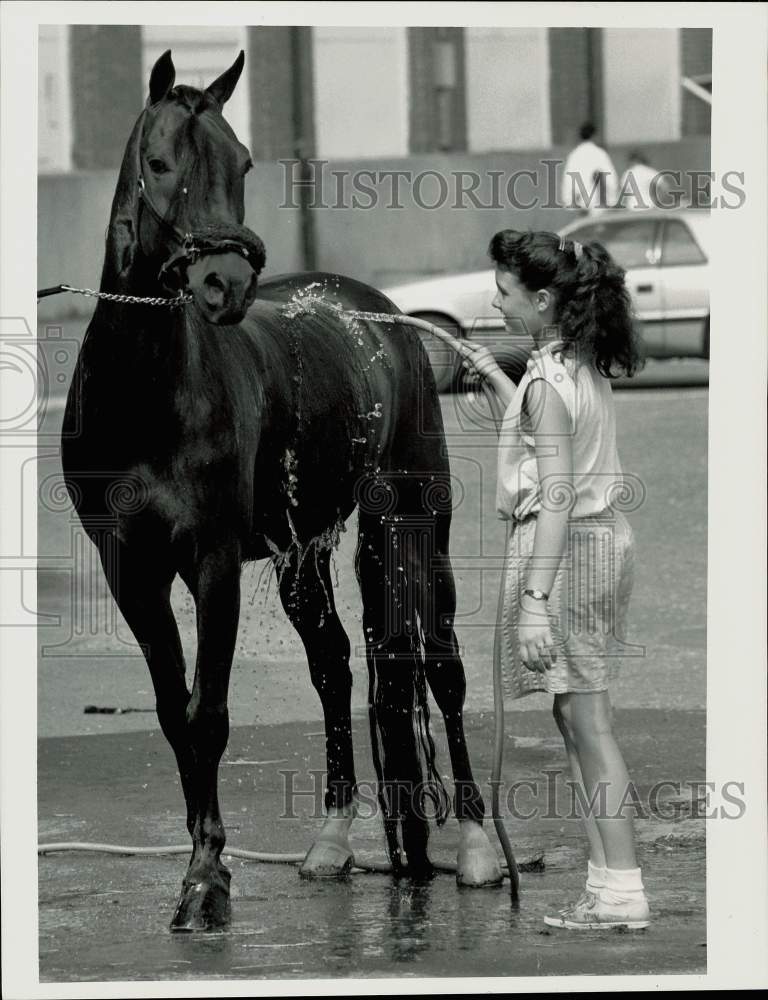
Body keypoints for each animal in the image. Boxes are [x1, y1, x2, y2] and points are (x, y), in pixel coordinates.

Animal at [61, 52, 504, 928]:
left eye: (241, 164)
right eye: (161, 162)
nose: (224, 284)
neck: (145, 391)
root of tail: (382, 314)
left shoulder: (212, 563)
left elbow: (209, 714)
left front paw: (206, 881)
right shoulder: (132, 571)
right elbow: (175, 713)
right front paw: (203, 868)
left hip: (414, 522)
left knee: (440, 664)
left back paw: (474, 849)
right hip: (305, 552)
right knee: (335, 664)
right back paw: (332, 841)